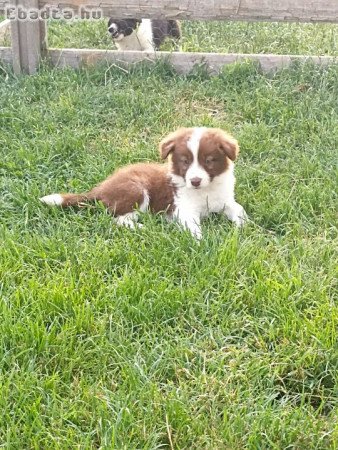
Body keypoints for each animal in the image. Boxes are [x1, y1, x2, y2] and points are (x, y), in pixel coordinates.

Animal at [41, 126, 248, 239]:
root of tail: (99, 189)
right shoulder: (184, 209)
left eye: (209, 160)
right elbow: (193, 226)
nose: (195, 181)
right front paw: (200, 241)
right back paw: (144, 228)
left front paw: (242, 226)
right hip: (136, 190)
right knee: (119, 219)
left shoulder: (225, 200)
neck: (205, 190)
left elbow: (239, 209)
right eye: (185, 161)